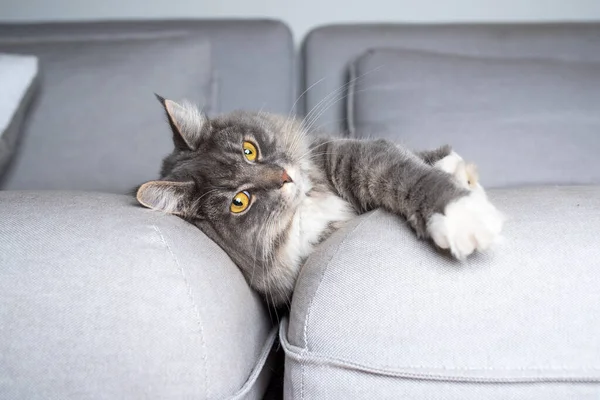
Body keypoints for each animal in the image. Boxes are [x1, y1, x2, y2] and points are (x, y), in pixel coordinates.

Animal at [135, 96, 502, 306]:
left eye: (249, 150)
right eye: (239, 201)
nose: (285, 177)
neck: (307, 202)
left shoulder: (340, 155)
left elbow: (401, 169)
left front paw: (461, 207)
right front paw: (464, 218)